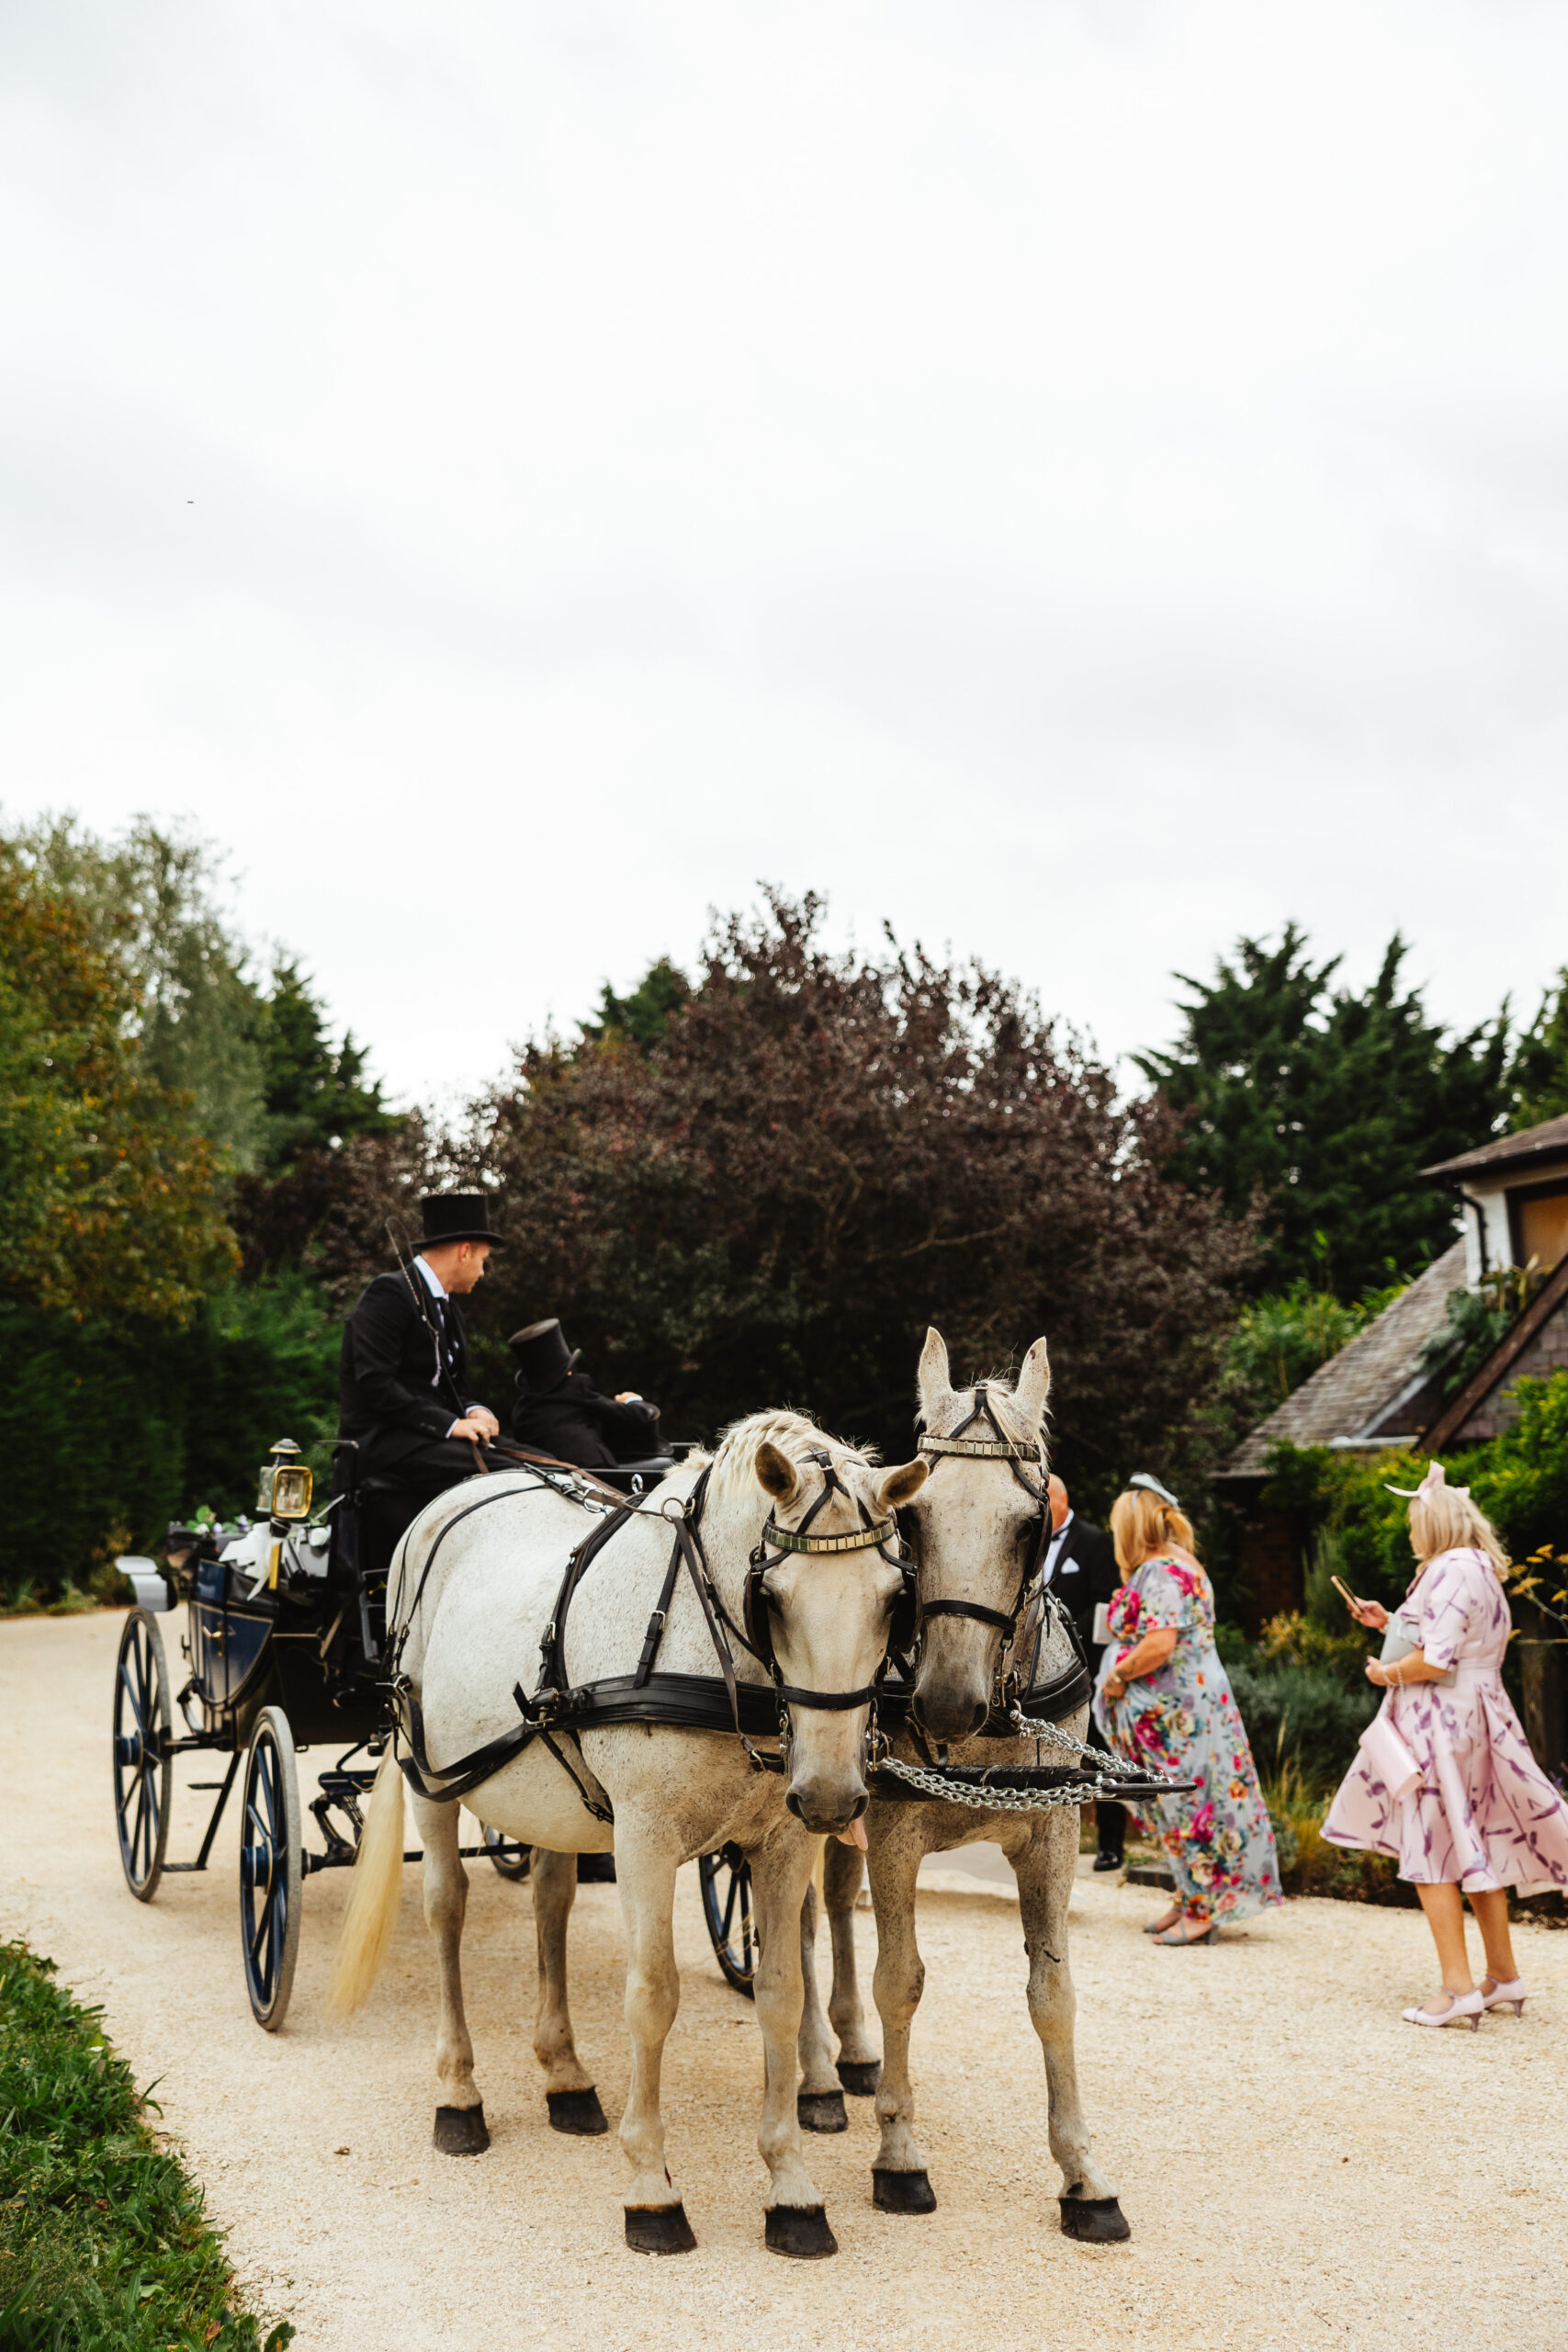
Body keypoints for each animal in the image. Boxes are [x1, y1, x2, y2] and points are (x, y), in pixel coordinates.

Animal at [329, 1401, 921, 2248]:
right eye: (771, 1598)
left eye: (892, 1599)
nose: (833, 1796)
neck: (706, 1643)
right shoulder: (644, 1839)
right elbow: (652, 1996)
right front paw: (650, 2189)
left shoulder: (779, 1845)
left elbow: (779, 1996)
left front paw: (791, 2187)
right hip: (429, 1778)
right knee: (446, 1912)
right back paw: (458, 2095)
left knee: (550, 1907)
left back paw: (565, 2077)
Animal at [799, 1345, 1128, 2239]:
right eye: (913, 1521)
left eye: (1028, 1525)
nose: (945, 1702)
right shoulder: (894, 1835)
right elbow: (901, 1980)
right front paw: (899, 2156)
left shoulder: (1051, 1837)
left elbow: (1053, 1992)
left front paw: (1082, 2174)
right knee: (796, 1926)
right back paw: (815, 2073)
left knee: (832, 1905)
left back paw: (849, 2051)